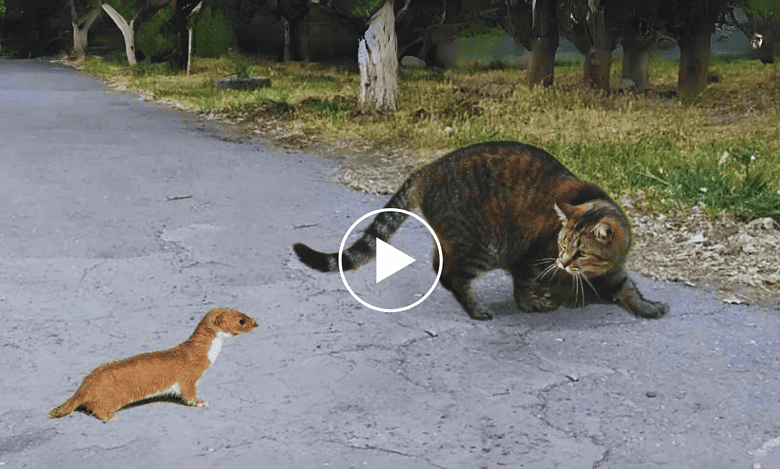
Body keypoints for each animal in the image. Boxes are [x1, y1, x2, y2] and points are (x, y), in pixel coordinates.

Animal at [47, 308, 258, 420]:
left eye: (245, 313)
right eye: (241, 320)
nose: (256, 323)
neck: (205, 355)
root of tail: (84, 386)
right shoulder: (188, 377)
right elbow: (188, 393)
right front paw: (200, 402)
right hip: (111, 396)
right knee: (96, 408)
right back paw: (110, 416)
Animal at [296, 141, 668, 320]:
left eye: (580, 251)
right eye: (562, 243)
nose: (562, 262)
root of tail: (428, 169)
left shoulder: (614, 269)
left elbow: (628, 288)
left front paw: (646, 305)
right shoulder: (529, 256)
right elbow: (524, 283)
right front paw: (532, 301)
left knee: (439, 262)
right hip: (483, 243)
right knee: (452, 274)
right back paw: (475, 308)